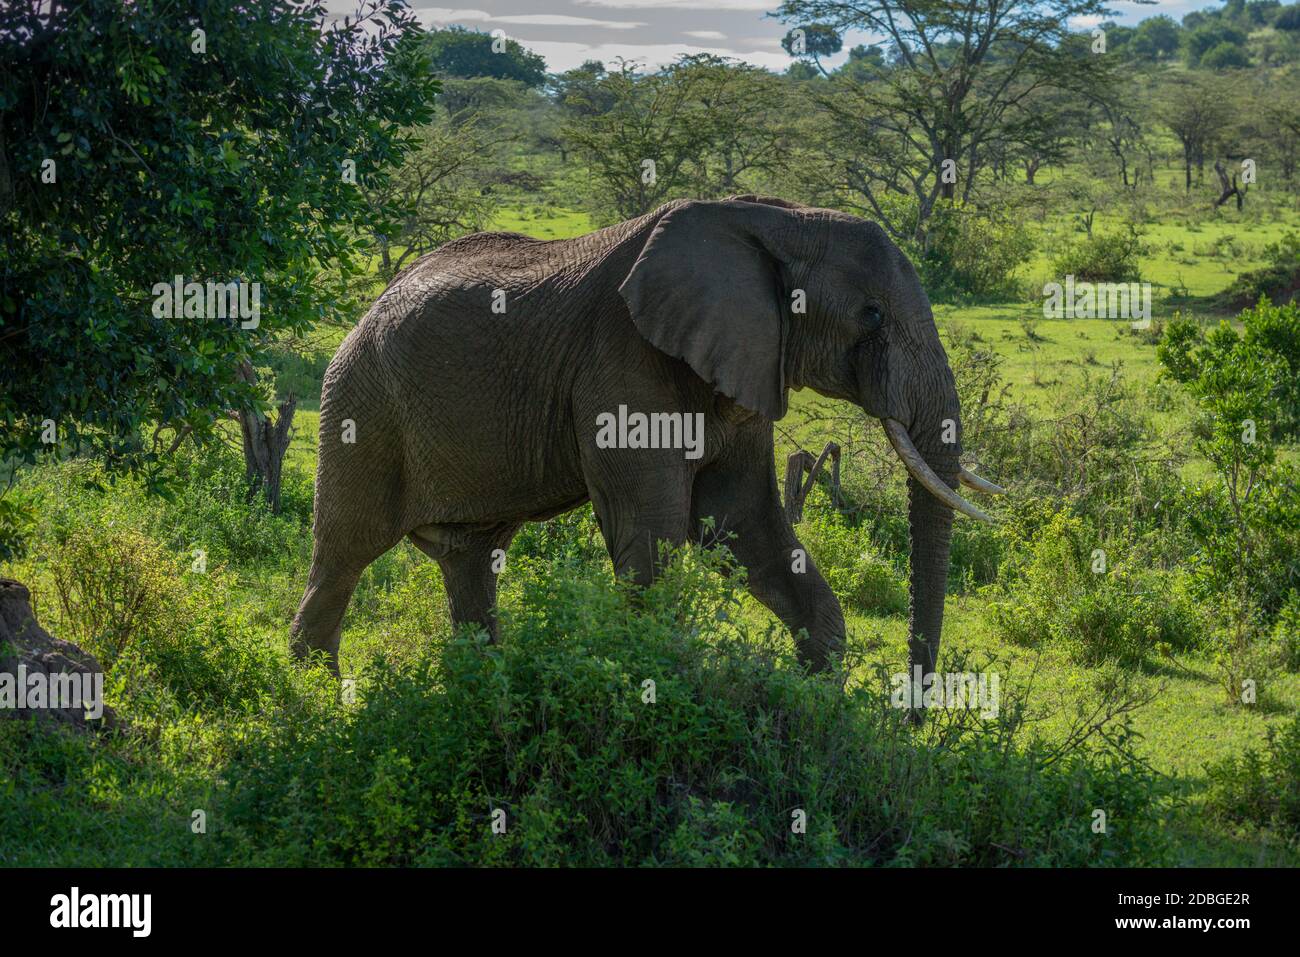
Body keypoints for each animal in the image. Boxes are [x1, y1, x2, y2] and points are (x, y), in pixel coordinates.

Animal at [290, 195, 1003, 696]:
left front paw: (815, 697)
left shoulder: (747, 365)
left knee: (471, 558)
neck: (776, 219)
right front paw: (661, 680)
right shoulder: (622, 361)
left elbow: (744, 522)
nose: (913, 715)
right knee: (344, 554)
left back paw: (479, 688)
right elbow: (655, 531)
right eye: (872, 316)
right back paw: (313, 704)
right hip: (359, 408)